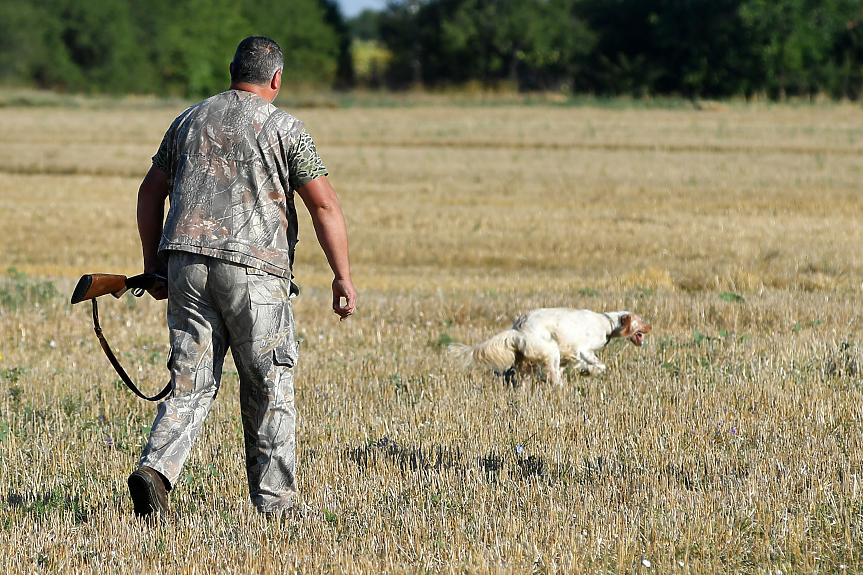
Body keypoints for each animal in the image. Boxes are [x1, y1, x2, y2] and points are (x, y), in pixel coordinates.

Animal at [448, 308, 652, 384]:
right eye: (641, 321)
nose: (650, 326)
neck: (607, 323)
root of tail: (518, 328)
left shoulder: (569, 355)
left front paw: (585, 370)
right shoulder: (583, 349)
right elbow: (600, 365)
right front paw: (588, 372)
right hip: (550, 349)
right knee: (553, 378)